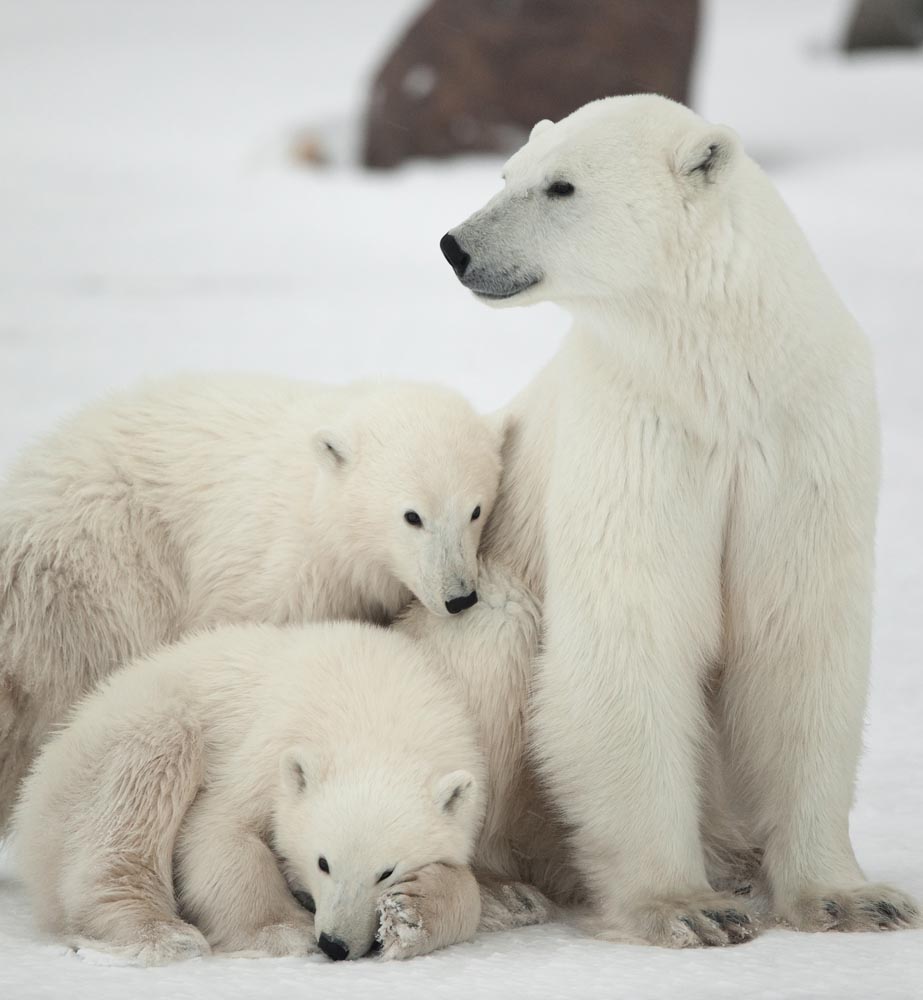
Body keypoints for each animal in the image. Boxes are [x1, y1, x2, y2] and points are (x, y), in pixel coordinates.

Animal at [434, 94, 923, 944]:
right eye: (505, 175)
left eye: (559, 186)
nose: (455, 246)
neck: (719, 372)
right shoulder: (637, 430)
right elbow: (633, 632)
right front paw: (686, 908)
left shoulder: (801, 434)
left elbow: (796, 637)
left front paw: (852, 899)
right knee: (493, 643)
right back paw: (495, 891)